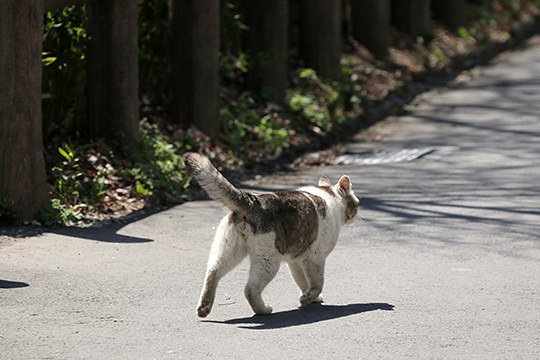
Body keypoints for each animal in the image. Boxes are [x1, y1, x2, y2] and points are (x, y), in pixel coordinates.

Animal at [184, 152, 360, 318]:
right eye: (357, 204)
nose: (357, 214)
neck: (330, 196)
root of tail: (253, 201)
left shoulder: (296, 260)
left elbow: (302, 281)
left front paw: (310, 297)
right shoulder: (315, 256)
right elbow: (317, 283)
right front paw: (308, 298)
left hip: (228, 250)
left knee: (213, 272)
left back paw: (204, 308)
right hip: (268, 261)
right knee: (250, 289)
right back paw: (264, 310)